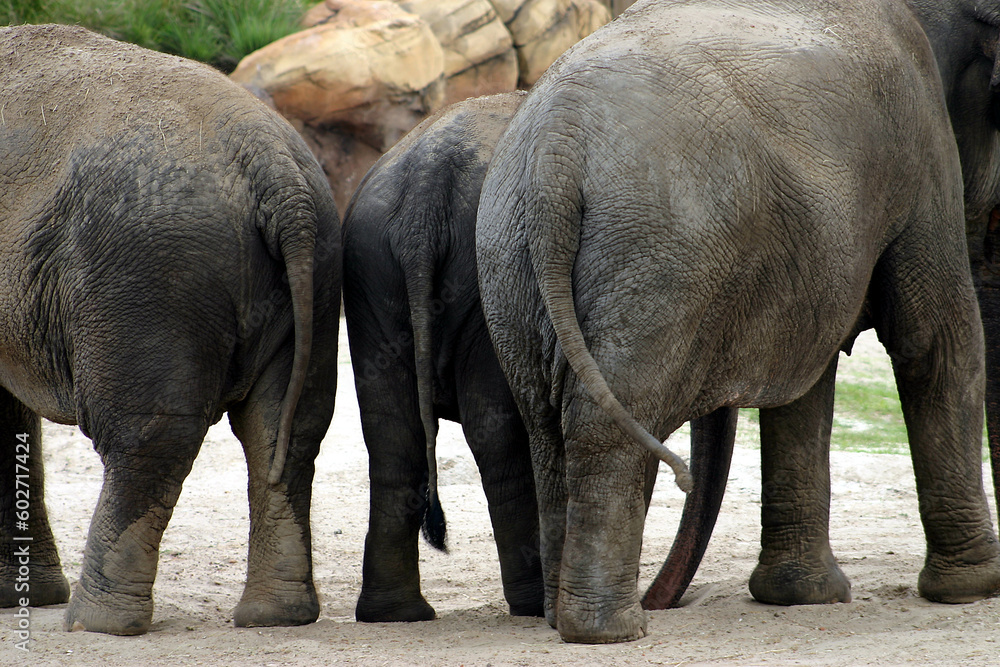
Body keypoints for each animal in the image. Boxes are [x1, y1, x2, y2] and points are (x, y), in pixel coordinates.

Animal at [0, 25, 342, 635]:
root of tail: (271, 163)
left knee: (146, 436)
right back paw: (275, 616)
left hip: (150, 275)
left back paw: (97, 624)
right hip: (314, 265)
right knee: (286, 427)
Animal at [342, 91, 544, 622]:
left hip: (371, 271)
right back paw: (536, 604)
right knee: (495, 434)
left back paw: (396, 614)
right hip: (481, 276)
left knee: (393, 437)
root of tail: (426, 194)